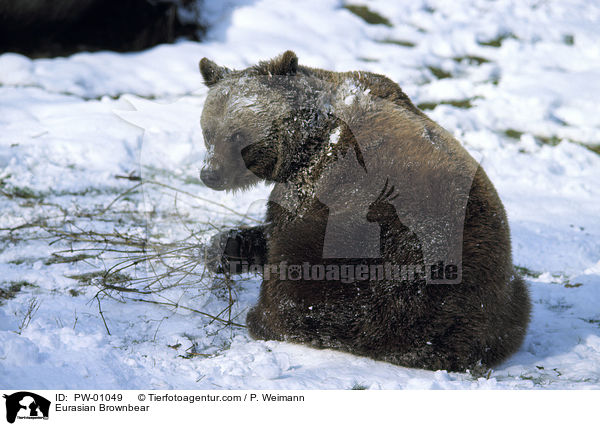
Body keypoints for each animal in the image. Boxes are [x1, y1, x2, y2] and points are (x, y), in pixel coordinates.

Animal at [198, 51, 528, 372]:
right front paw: (223, 248)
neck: (308, 140)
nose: (210, 174)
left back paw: (264, 317)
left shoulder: (321, 185)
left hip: (395, 267)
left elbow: (284, 239)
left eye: (238, 135)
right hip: (505, 294)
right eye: (208, 132)